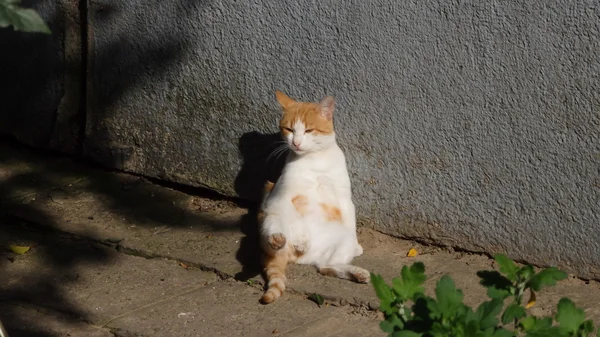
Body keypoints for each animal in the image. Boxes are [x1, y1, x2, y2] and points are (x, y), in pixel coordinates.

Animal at [258, 90, 370, 304]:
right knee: (275, 239)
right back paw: (280, 240)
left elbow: (349, 217)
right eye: (289, 129)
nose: (295, 142)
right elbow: (295, 217)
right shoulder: (279, 196)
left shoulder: (344, 197)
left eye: (309, 130)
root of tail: (304, 258)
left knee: (327, 266)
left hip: (342, 242)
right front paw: (302, 239)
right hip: (270, 217)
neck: (315, 160)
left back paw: (357, 272)